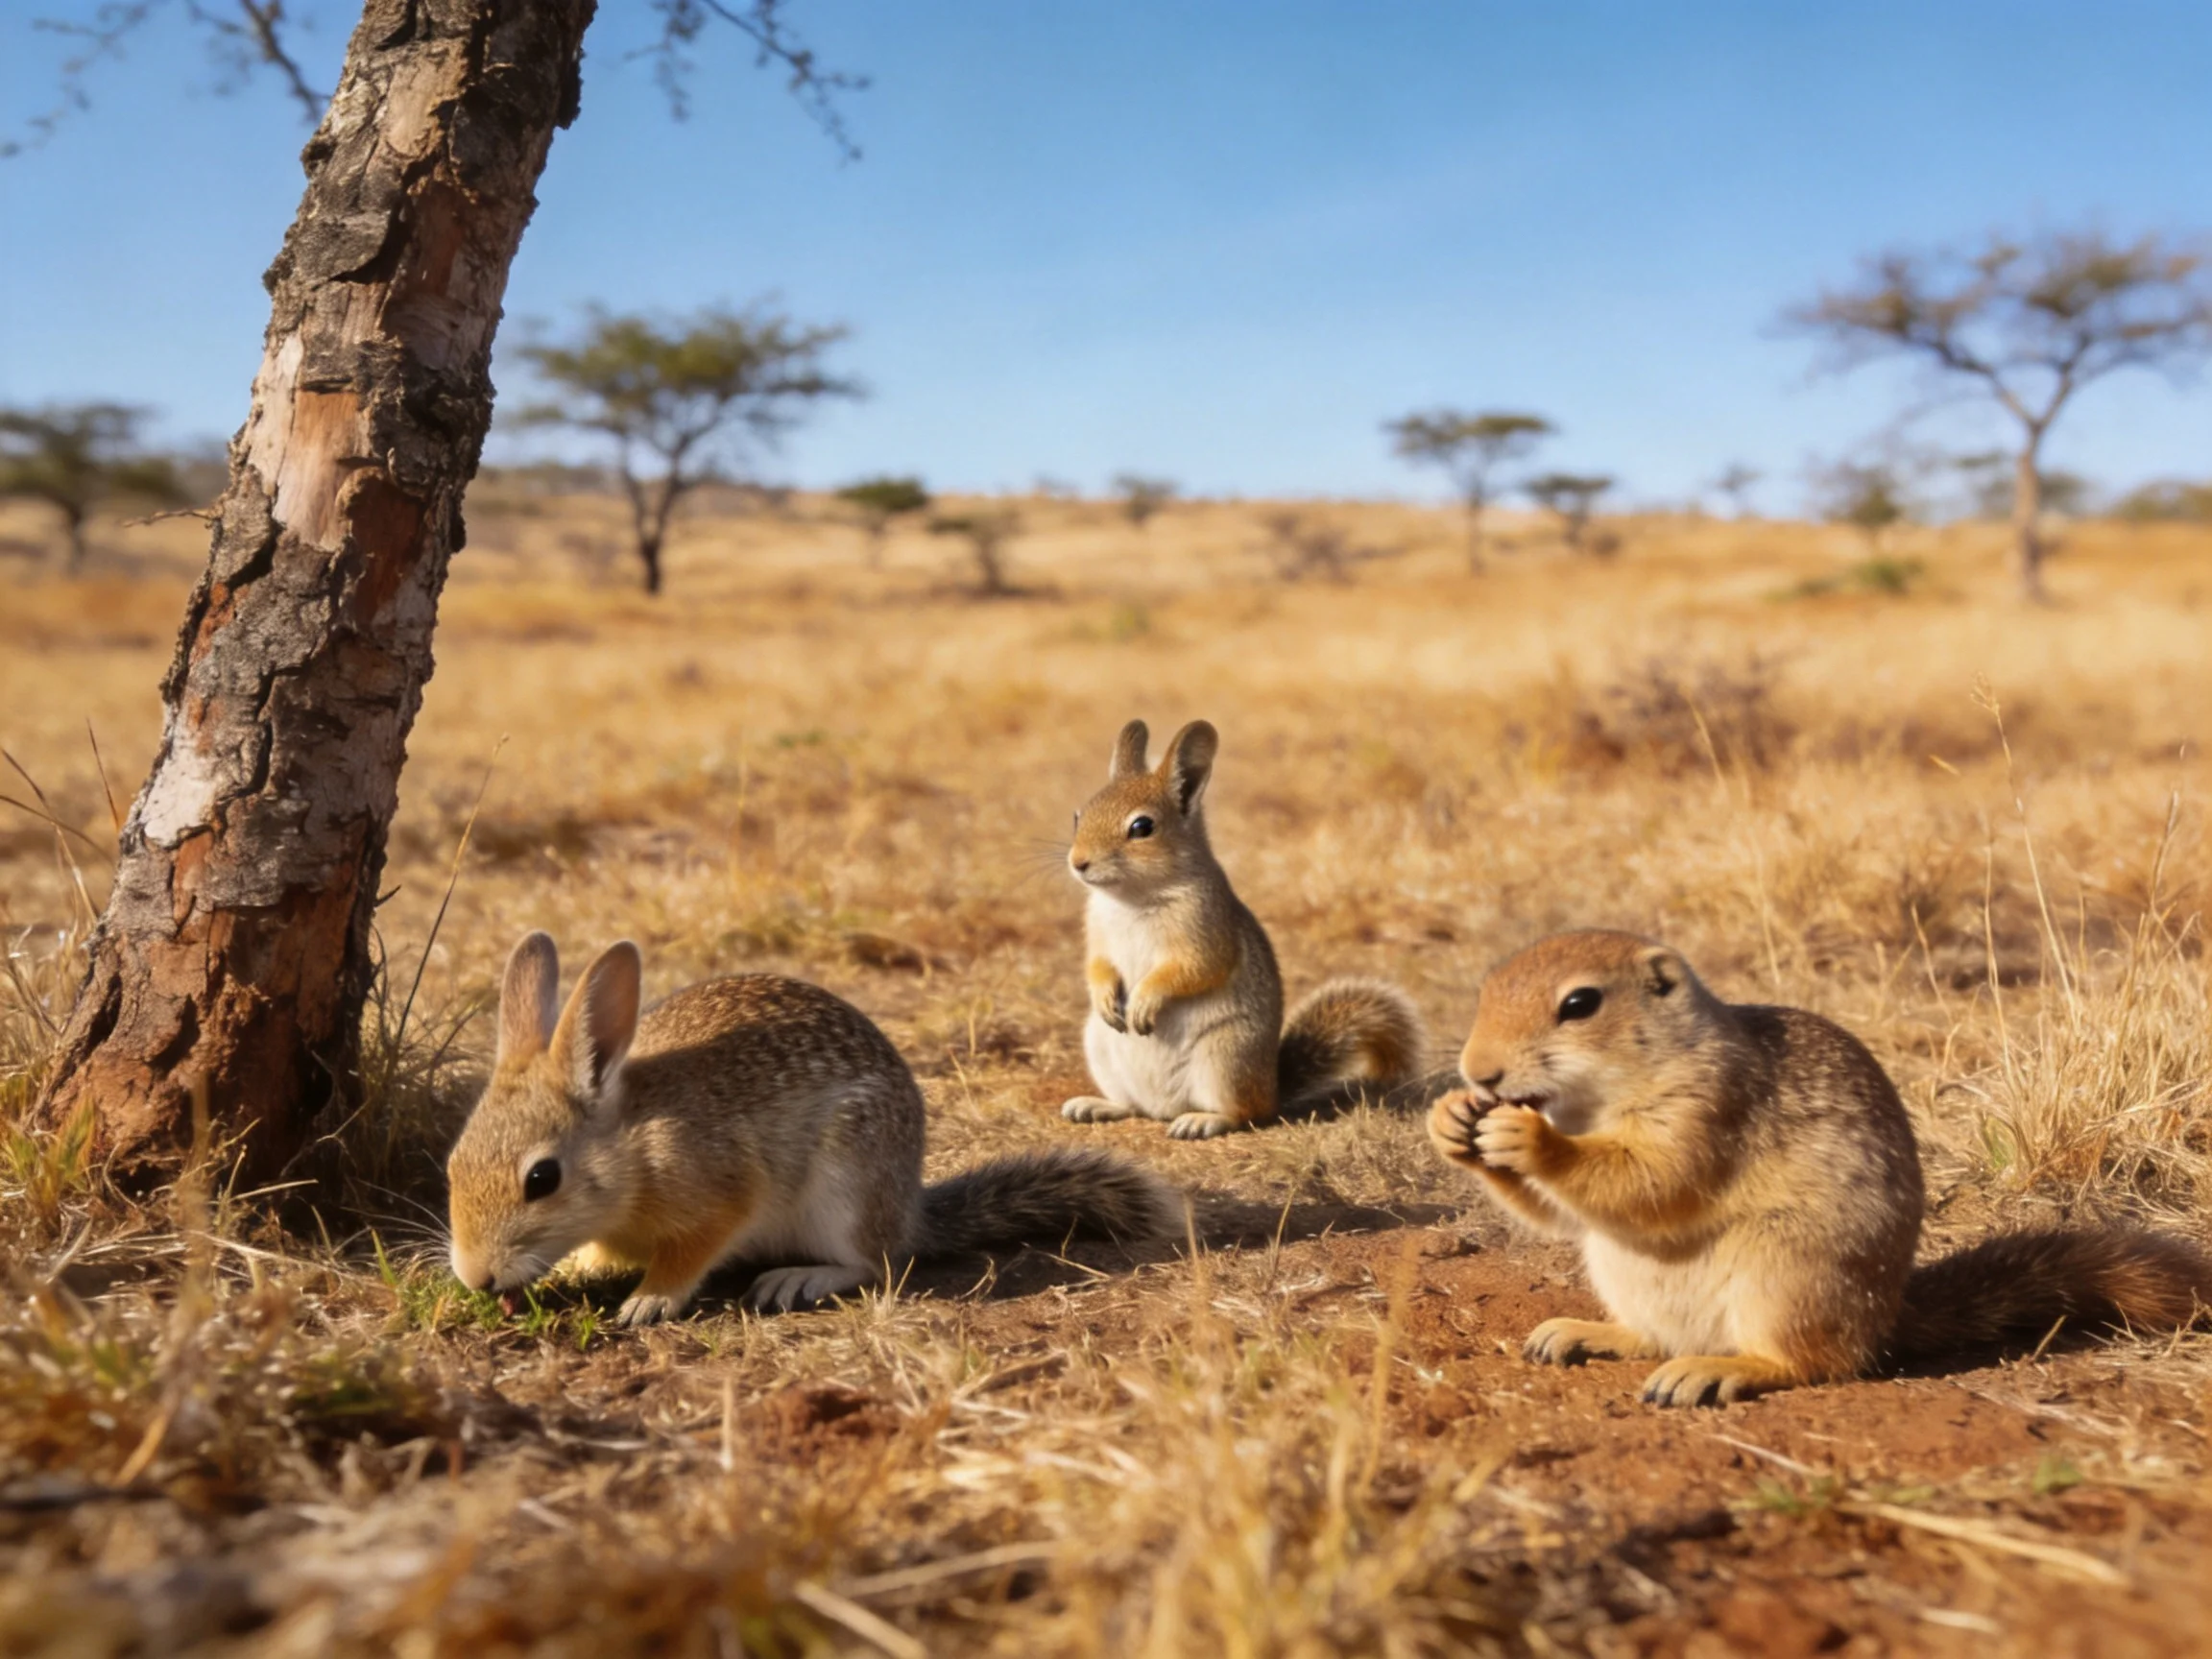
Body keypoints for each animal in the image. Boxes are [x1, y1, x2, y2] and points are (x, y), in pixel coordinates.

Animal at [448, 932, 1184, 1326]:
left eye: (542, 1178)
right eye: (452, 1165)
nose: (477, 1278)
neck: (630, 1146)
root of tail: (909, 1211)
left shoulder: (720, 1193)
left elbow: (691, 1252)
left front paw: (649, 1301)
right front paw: (580, 1264)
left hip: (842, 1190)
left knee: (874, 1263)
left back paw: (798, 1278)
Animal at [1060, 718, 1425, 1139]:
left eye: (1142, 826)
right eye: (1078, 815)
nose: (1078, 863)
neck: (1133, 898)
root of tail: (1273, 1088)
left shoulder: (1206, 929)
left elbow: (1195, 969)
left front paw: (1145, 1000)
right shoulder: (1097, 931)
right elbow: (1096, 966)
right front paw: (1104, 996)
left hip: (1226, 1059)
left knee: (1245, 1113)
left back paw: (1201, 1121)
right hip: (1100, 1046)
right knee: (1135, 1106)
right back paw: (1098, 1105)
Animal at [1428, 929, 2212, 1406]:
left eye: (1580, 1003)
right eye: (1486, 987)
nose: (1478, 1072)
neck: (1598, 1101)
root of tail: (1884, 1320)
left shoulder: (1711, 1108)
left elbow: (1652, 1179)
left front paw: (1531, 1138)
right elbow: (1558, 1211)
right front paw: (1450, 1121)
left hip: (1785, 1272)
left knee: (1809, 1364)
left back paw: (1719, 1370)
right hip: (1621, 1270)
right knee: (1657, 1336)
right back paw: (1590, 1334)